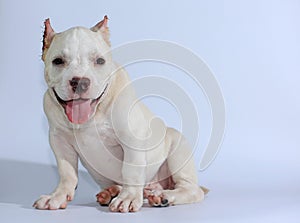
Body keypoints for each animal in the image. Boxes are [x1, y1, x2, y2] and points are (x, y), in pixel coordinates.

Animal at [32, 16, 206, 213]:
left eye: (100, 61)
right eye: (58, 61)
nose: (80, 82)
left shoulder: (131, 137)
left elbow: (131, 170)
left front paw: (128, 198)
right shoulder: (59, 141)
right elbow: (66, 172)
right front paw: (57, 196)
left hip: (178, 148)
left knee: (192, 190)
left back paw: (164, 196)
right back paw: (112, 192)